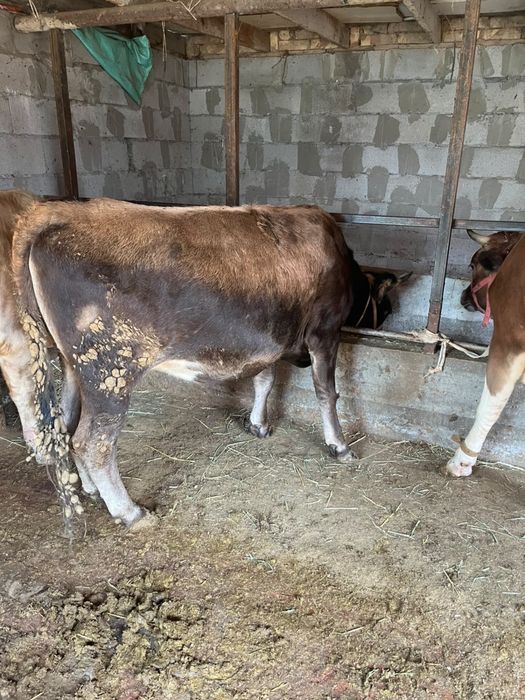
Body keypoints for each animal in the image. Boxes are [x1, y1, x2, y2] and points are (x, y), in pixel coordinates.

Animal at [12, 198, 407, 527]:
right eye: (387, 306)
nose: (386, 323)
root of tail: (57, 213)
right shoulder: (324, 332)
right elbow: (327, 392)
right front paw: (339, 445)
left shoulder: (269, 339)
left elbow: (264, 380)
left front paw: (258, 424)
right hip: (110, 369)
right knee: (93, 442)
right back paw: (129, 511)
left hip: (73, 364)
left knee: (67, 426)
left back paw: (93, 490)